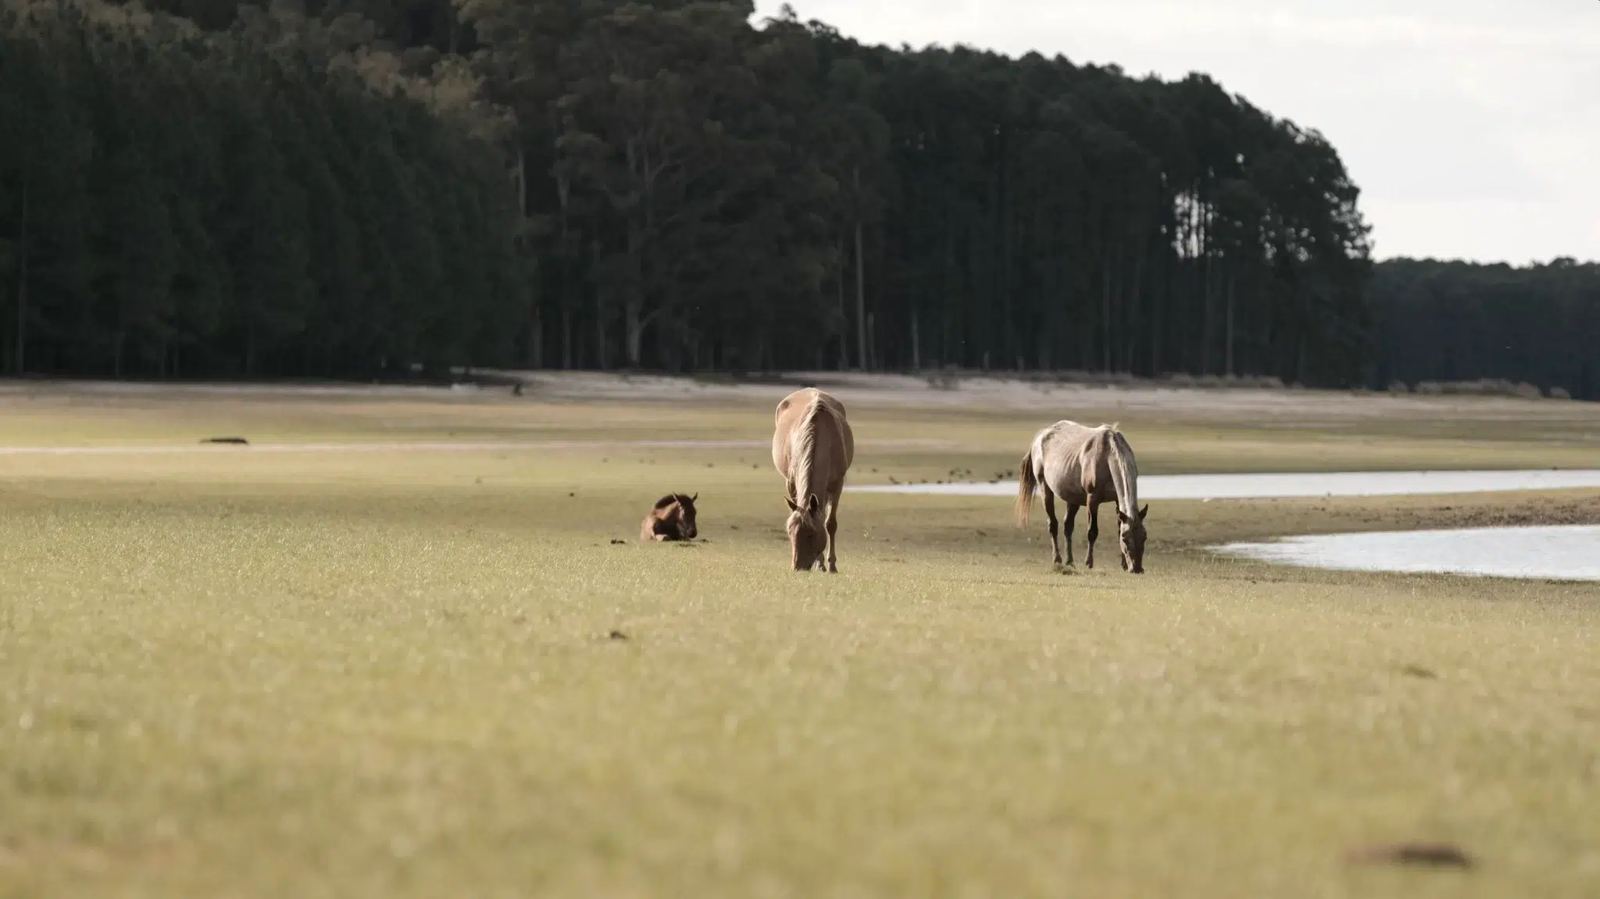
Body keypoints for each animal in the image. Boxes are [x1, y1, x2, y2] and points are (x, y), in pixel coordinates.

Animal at [772, 388, 855, 572]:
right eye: (789, 532)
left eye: (811, 534)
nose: (798, 567)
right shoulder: (791, 483)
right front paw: (821, 563)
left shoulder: (837, 484)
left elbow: (830, 524)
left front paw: (831, 565)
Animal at [1014, 421, 1148, 573]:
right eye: (1125, 539)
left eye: (1144, 537)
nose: (1137, 568)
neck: (1107, 455)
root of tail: (1040, 436)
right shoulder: (1092, 500)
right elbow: (1092, 531)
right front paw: (1089, 562)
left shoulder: (1116, 500)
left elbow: (1119, 527)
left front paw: (1124, 565)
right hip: (1045, 488)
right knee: (1053, 524)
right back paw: (1057, 559)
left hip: (1073, 498)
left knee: (1068, 526)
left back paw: (1070, 561)